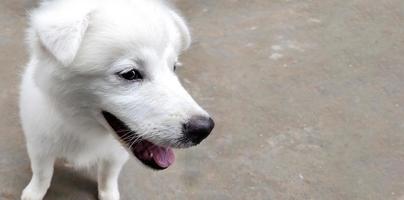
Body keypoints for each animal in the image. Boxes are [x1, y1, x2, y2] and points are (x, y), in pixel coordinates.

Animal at [19, 0, 215, 199]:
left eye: (173, 67)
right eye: (130, 74)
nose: (204, 129)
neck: (83, 127)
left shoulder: (115, 153)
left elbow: (108, 175)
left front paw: (108, 194)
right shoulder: (39, 145)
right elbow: (42, 173)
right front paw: (34, 193)